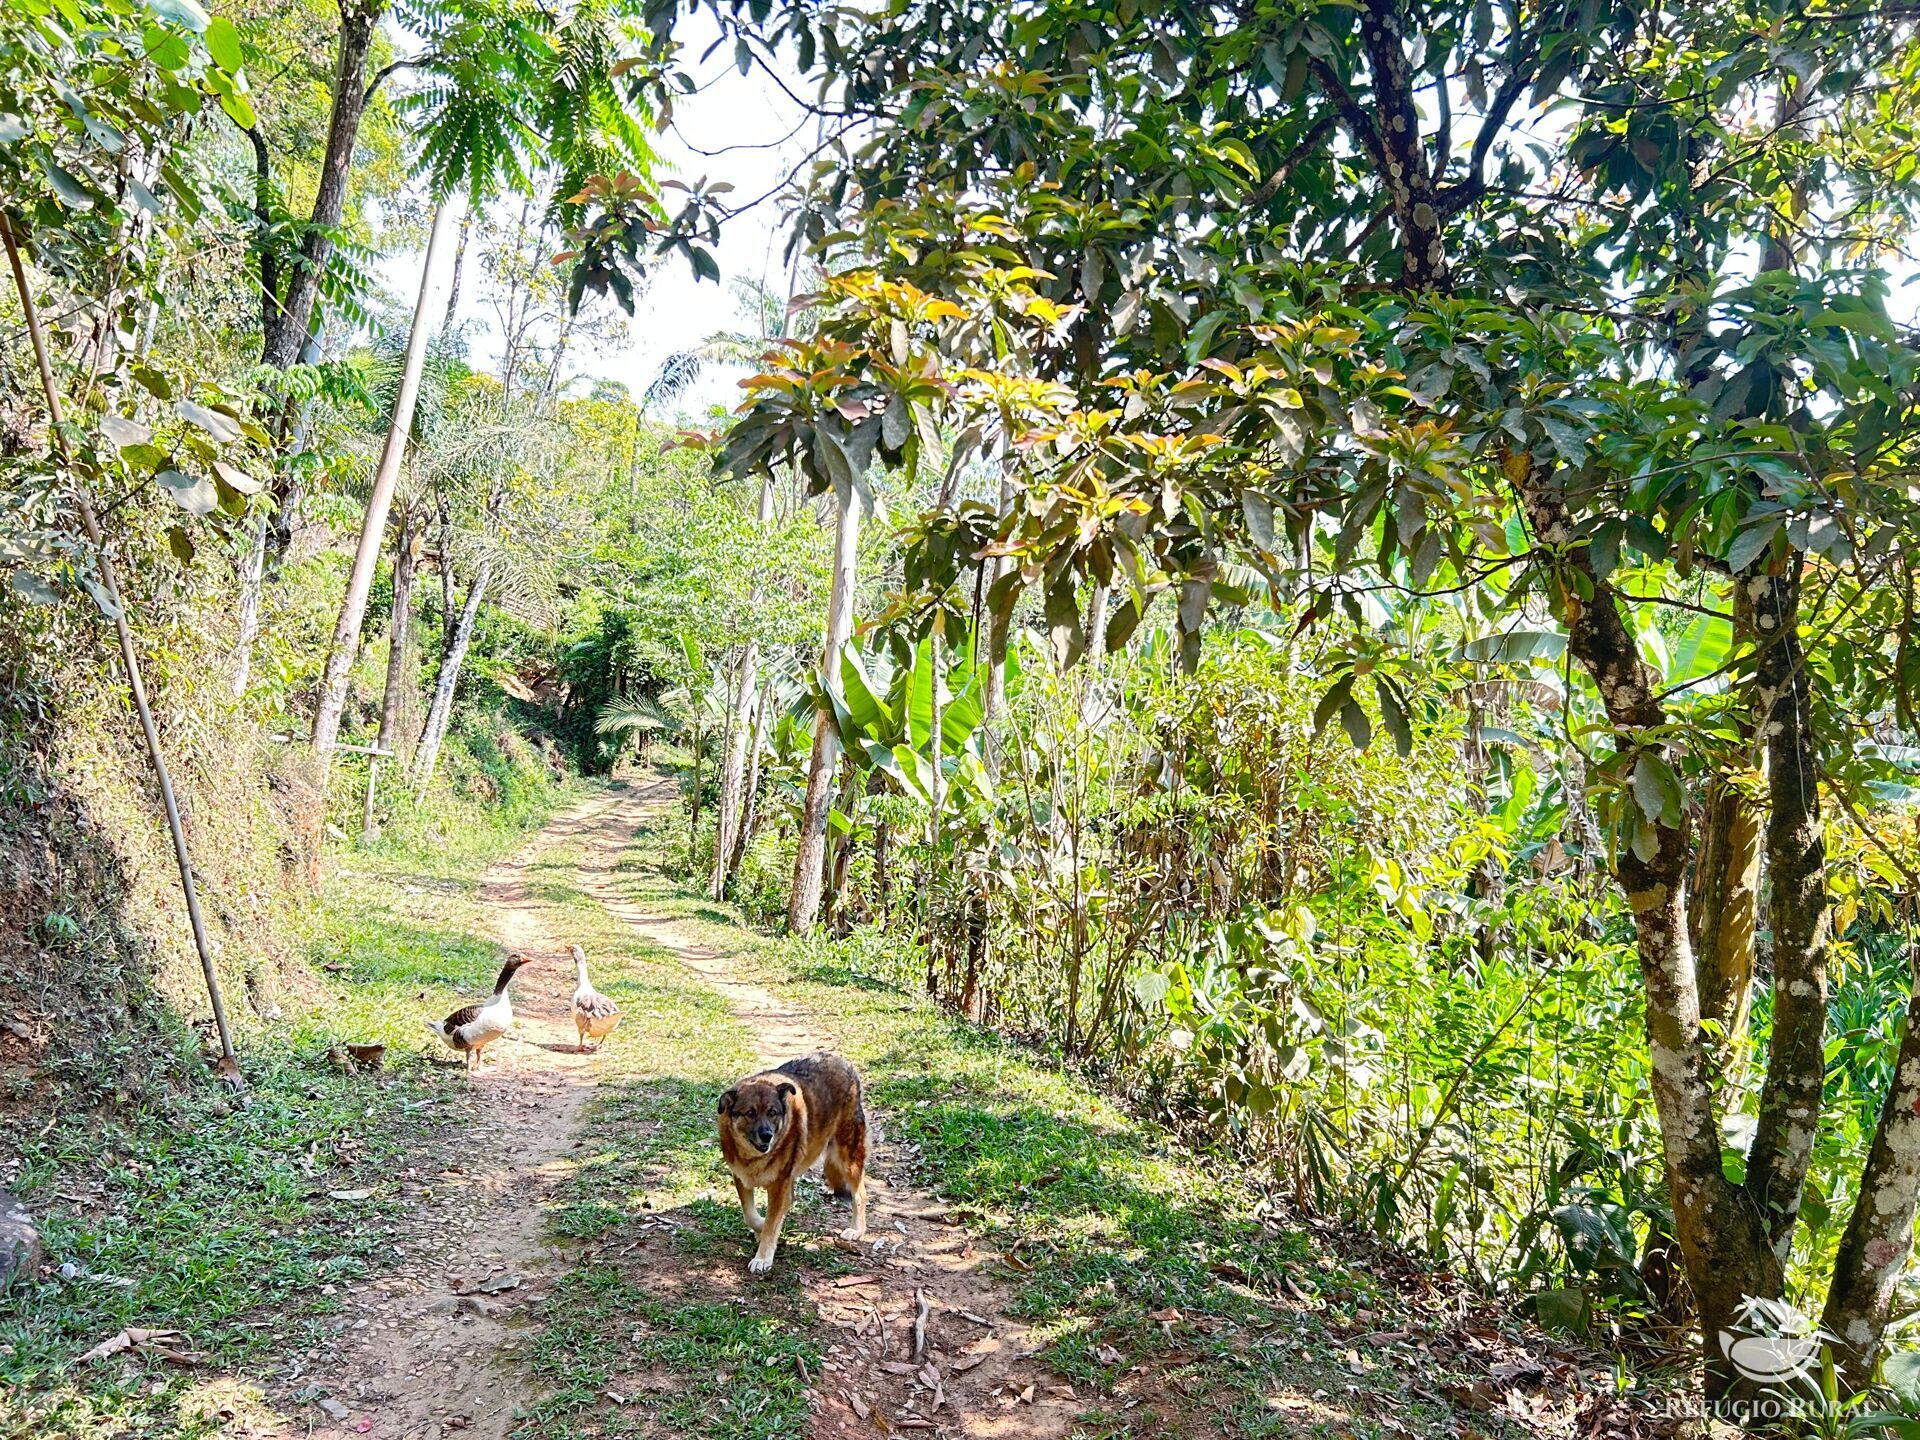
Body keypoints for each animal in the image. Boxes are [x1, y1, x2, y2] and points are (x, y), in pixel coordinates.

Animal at [721, 1052, 871, 1282]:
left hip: (848, 1156)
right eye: (750, 1113)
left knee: (860, 1194)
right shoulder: (741, 1178)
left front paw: (763, 1258)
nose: (767, 1135)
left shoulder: (779, 1185)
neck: (753, 1158)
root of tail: (842, 1061)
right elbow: (752, 1215)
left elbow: (771, 1223)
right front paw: (761, 1228)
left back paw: (856, 1230)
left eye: (772, 1112)